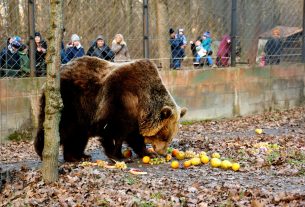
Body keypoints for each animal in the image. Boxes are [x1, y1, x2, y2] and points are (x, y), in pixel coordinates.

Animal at [33, 56, 185, 162]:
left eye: (170, 137)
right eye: (164, 136)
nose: (163, 152)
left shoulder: (134, 115)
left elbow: (134, 136)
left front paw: (148, 153)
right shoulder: (119, 99)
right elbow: (113, 131)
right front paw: (117, 155)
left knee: (78, 134)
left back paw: (79, 156)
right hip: (70, 100)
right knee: (61, 127)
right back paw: (42, 151)